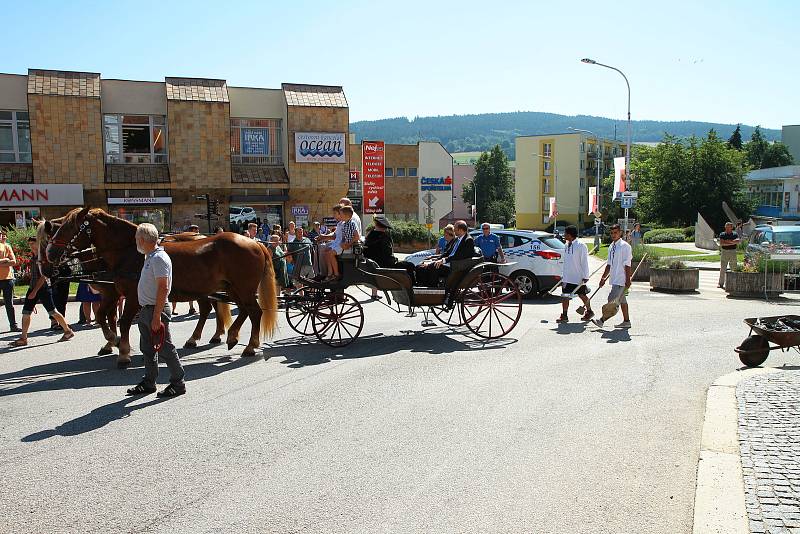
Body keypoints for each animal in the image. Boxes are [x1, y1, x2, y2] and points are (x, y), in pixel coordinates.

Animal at [47, 207, 280, 366]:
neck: (131, 251)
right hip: (231, 288)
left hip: (242, 288)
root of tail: (255, 242)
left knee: (254, 312)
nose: (49, 253)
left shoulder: (131, 296)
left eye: (69, 227)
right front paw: (114, 341)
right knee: (241, 311)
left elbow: (122, 321)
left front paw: (122, 351)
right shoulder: (117, 295)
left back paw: (249, 345)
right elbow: (105, 315)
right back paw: (229, 336)